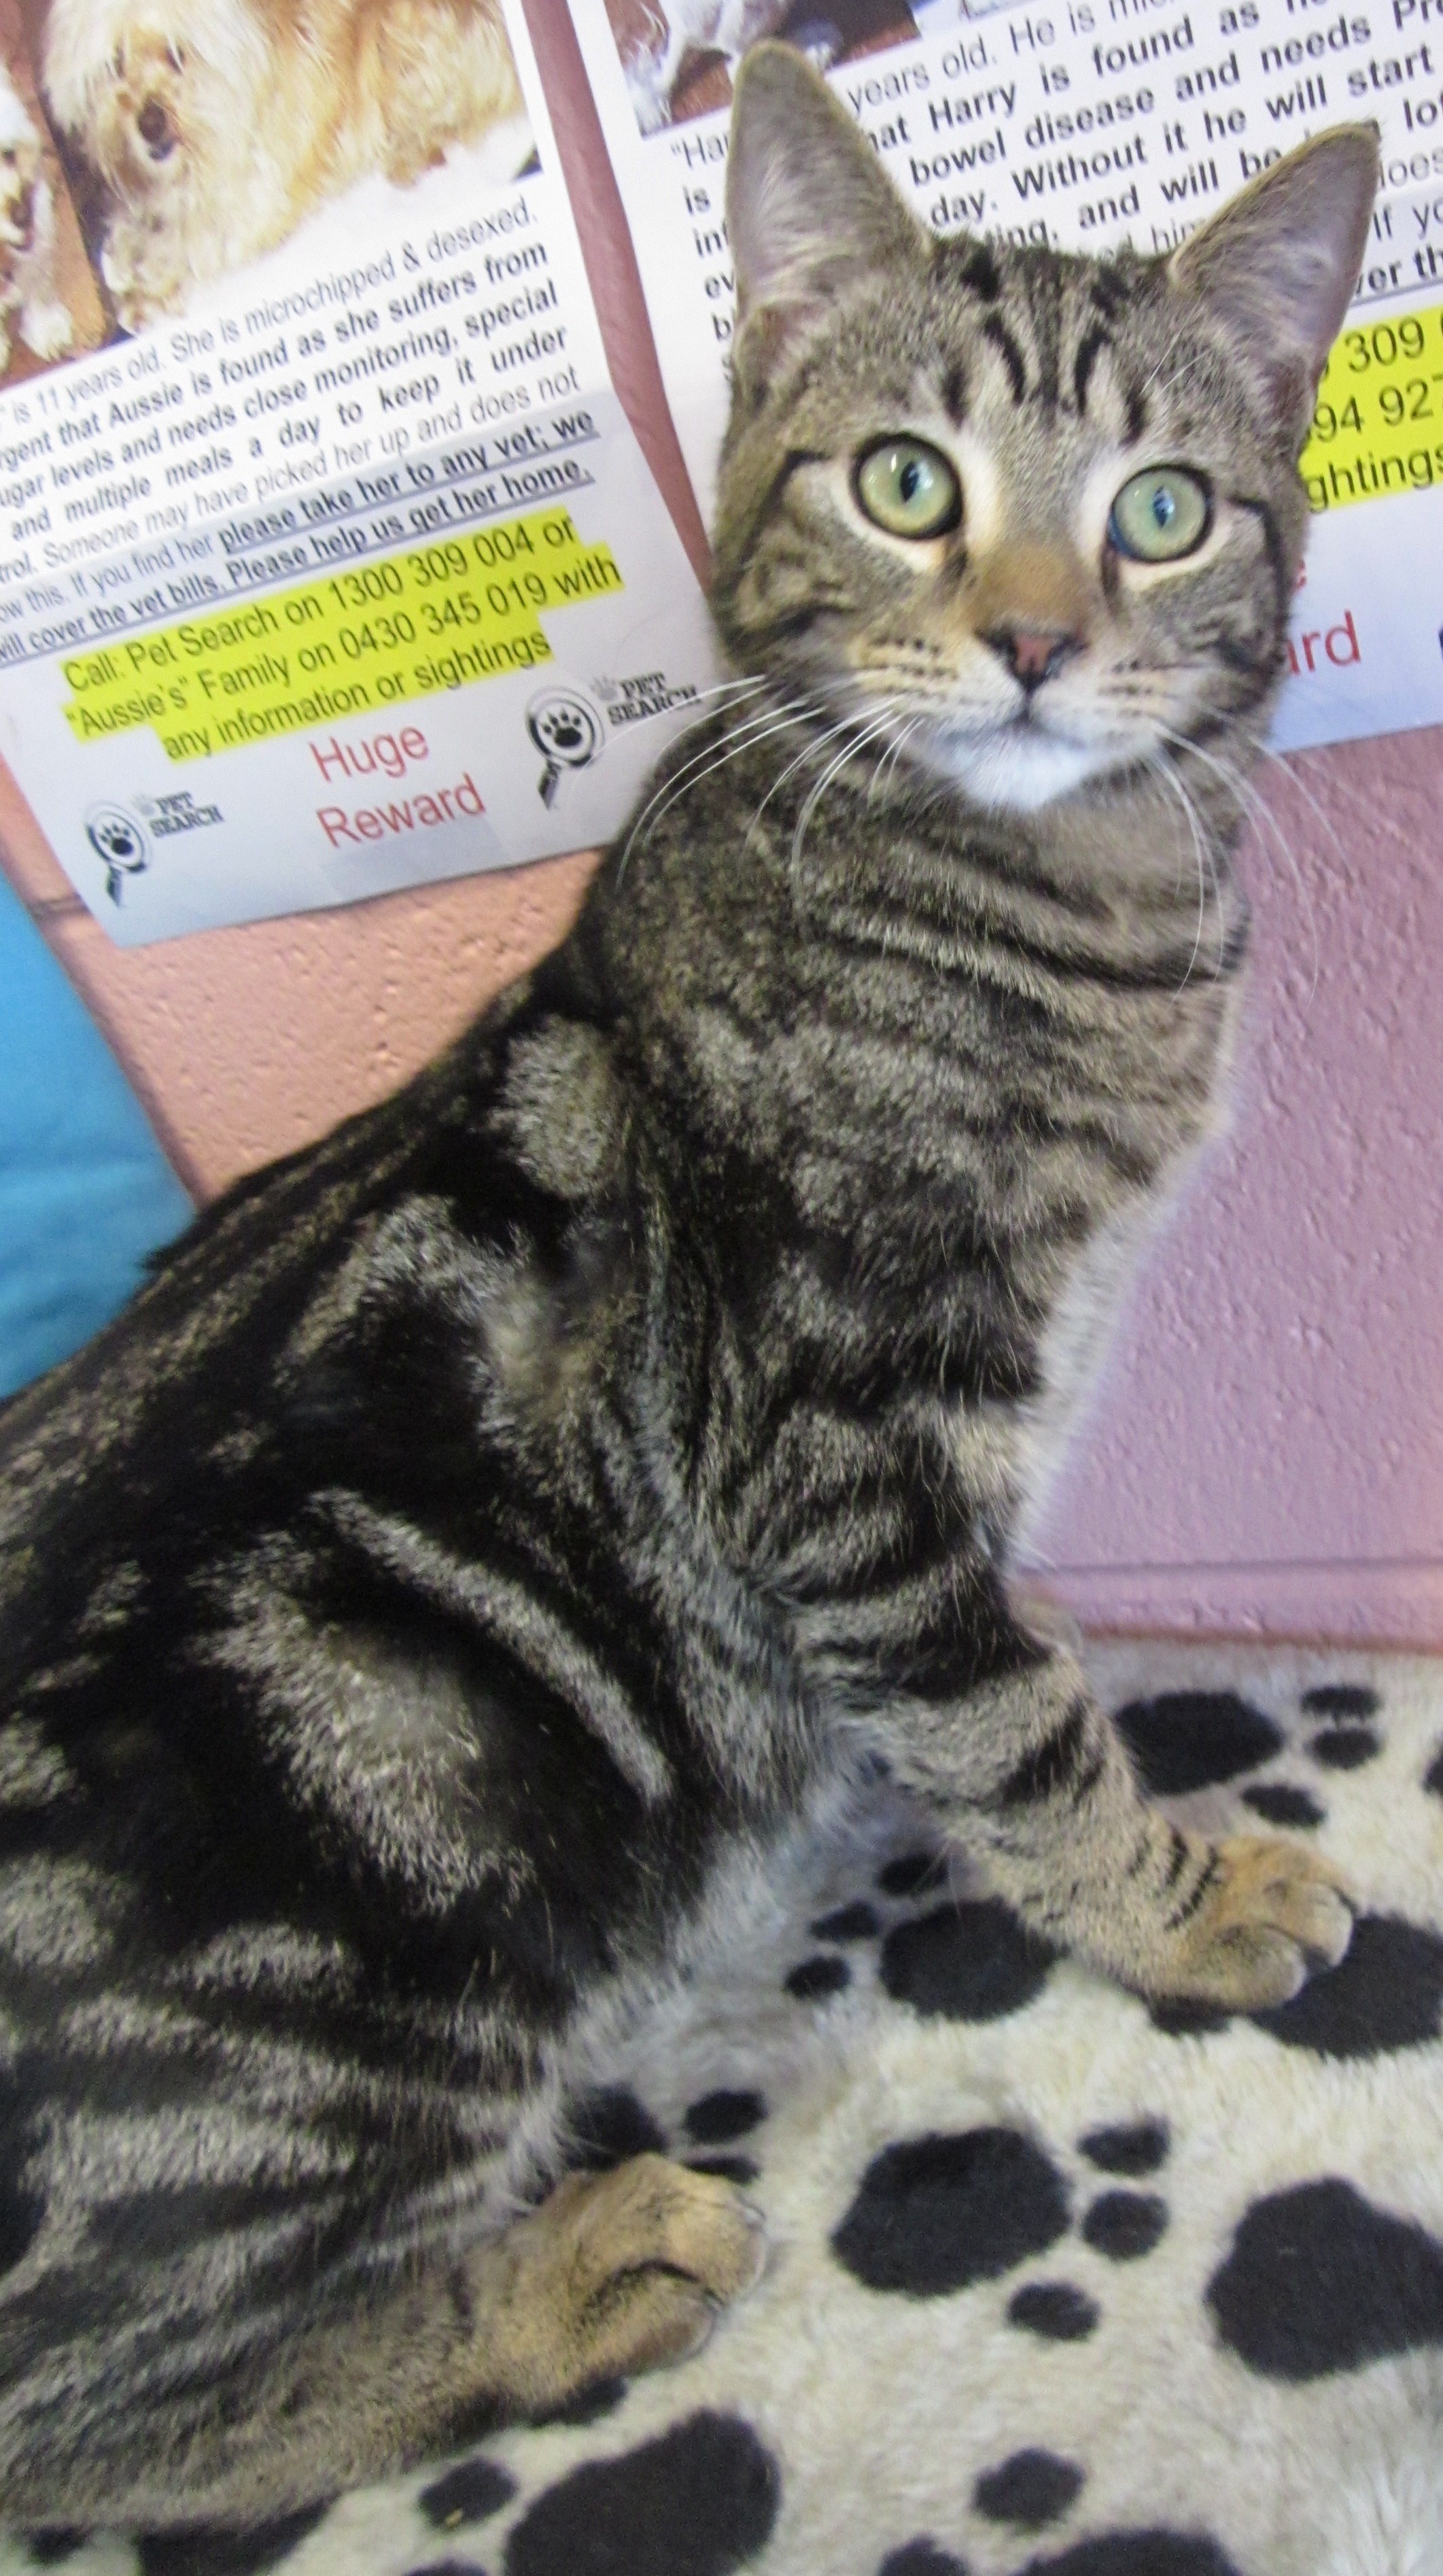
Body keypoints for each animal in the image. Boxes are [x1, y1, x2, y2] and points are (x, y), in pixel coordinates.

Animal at [0, 48, 1377, 2531]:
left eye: (1159, 512)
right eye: (909, 479)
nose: (1037, 637)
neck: (1064, 896)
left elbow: (971, 1686)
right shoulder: (831, 1448)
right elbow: (1015, 1720)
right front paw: (1171, 1888)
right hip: (400, 1820)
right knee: (86, 2416)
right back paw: (568, 2270)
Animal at [40, 0, 532, 329]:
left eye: (177, 55)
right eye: (115, 63)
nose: (150, 123)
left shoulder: (246, 214)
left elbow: (190, 255)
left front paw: (146, 297)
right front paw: (127, 248)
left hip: (407, 44)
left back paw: (411, 158)